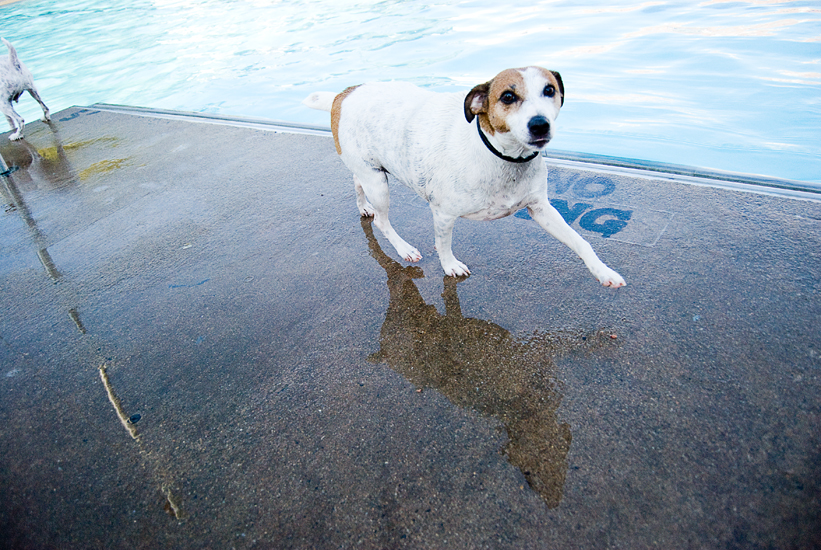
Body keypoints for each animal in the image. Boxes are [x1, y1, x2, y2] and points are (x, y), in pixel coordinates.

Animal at [304, 66, 624, 288]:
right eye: (508, 96)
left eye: (549, 90)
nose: (539, 125)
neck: (500, 156)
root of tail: (343, 94)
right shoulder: (444, 214)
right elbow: (443, 245)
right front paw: (450, 266)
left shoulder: (541, 209)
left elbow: (582, 242)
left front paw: (603, 272)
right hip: (379, 186)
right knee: (383, 221)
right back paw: (404, 249)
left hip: (369, 171)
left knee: (356, 182)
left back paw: (363, 207)